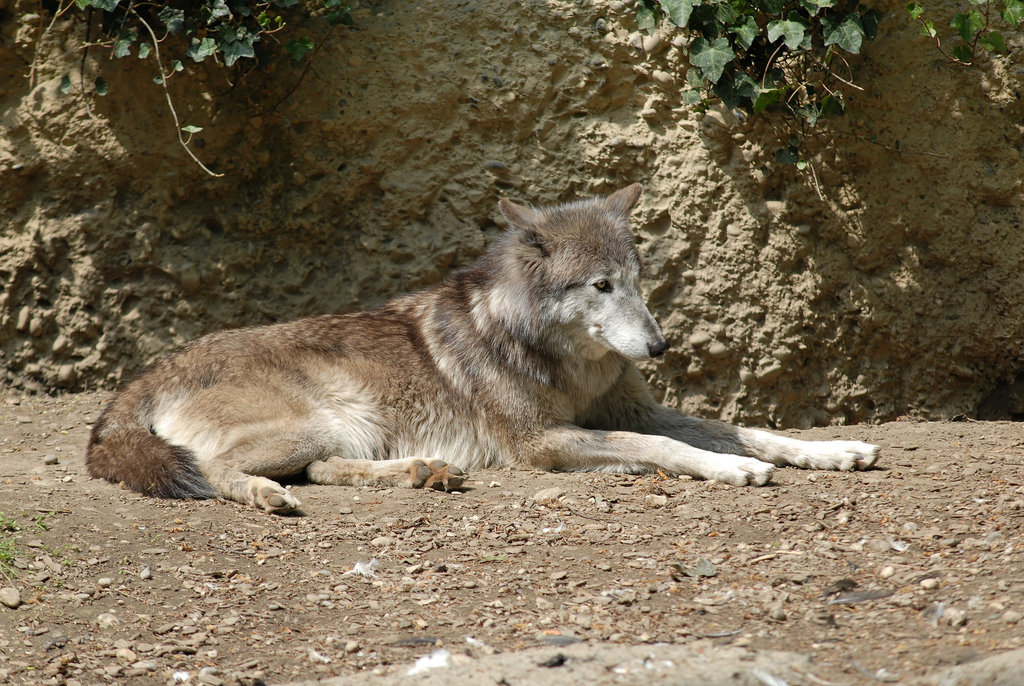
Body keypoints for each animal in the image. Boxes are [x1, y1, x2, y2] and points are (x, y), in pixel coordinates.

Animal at [90, 185, 880, 513]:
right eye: (600, 287)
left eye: (637, 280)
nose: (658, 346)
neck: (565, 365)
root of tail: (149, 372)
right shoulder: (543, 442)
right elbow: (667, 448)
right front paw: (728, 470)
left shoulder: (637, 410)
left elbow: (744, 428)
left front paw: (832, 451)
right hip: (313, 423)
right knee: (222, 470)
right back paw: (265, 495)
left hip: (343, 431)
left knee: (323, 471)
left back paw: (423, 473)